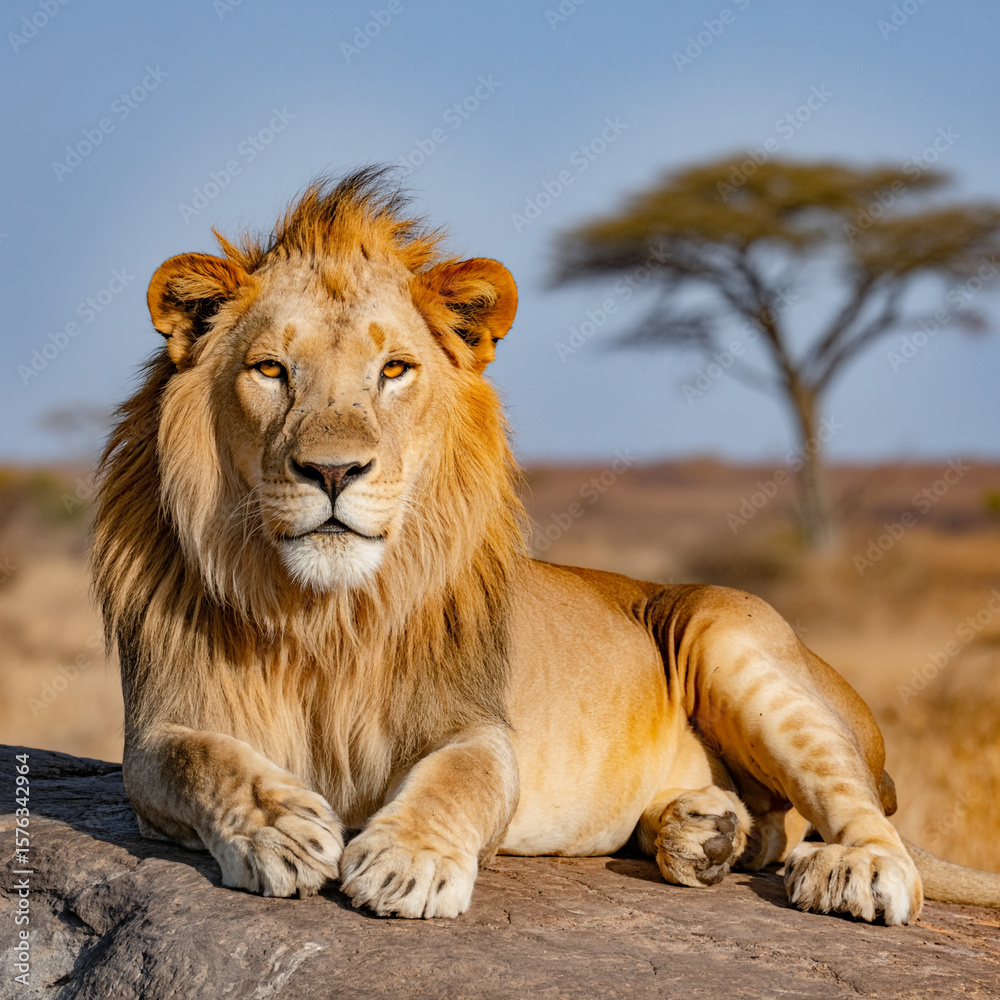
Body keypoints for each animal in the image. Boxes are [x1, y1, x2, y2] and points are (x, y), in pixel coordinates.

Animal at [93, 168, 1000, 924]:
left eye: (394, 370)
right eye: (272, 370)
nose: (333, 470)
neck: (328, 612)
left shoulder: (478, 725)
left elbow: (460, 777)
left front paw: (409, 862)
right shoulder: (159, 725)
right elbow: (201, 760)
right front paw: (280, 828)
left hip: (723, 627)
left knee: (859, 812)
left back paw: (854, 869)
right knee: (772, 827)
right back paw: (702, 833)